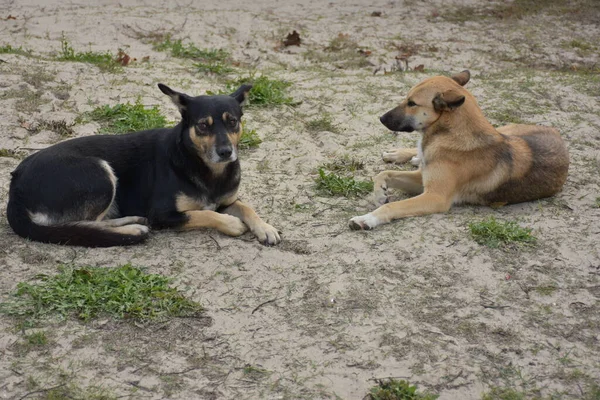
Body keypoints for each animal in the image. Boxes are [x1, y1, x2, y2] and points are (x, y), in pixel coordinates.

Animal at [5, 84, 282, 245]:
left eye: (232, 121)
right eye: (204, 125)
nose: (226, 152)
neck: (204, 166)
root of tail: (15, 185)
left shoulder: (227, 200)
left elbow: (246, 207)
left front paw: (265, 228)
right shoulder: (163, 214)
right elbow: (203, 213)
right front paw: (231, 224)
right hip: (99, 174)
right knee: (81, 225)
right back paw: (132, 230)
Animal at [346, 70, 568, 230]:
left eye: (412, 103)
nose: (381, 118)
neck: (449, 134)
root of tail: (556, 132)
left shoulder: (435, 196)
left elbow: (392, 205)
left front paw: (367, 219)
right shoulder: (422, 180)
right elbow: (384, 173)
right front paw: (379, 193)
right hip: (507, 130)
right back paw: (402, 154)